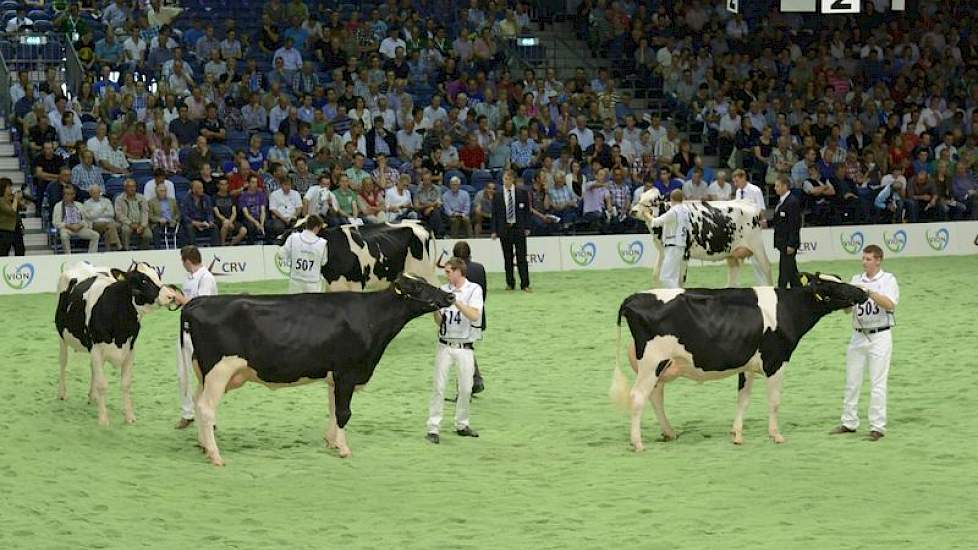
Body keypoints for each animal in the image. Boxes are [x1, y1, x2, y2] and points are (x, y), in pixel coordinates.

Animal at [54, 264, 181, 426]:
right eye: (143, 280)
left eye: (158, 276)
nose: (171, 296)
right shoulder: (96, 349)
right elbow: (103, 384)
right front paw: (103, 420)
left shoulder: (130, 350)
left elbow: (125, 384)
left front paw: (129, 417)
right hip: (61, 336)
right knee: (63, 363)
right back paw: (62, 393)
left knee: (92, 368)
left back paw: (93, 396)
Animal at [181, 274, 456, 468]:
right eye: (417, 288)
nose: (450, 297)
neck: (371, 318)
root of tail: (198, 302)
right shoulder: (347, 371)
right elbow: (344, 412)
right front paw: (344, 449)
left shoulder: (335, 377)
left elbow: (333, 410)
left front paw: (331, 442)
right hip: (220, 370)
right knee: (206, 407)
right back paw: (216, 456)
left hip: (203, 371)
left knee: (196, 401)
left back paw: (203, 446)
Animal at [608, 274, 868, 452]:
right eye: (833, 286)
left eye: (840, 278)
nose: (863, 292)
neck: (788, 308)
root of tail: (632, 298)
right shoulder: (776, 361)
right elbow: (774, 401)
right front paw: (776, 435)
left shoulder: (748, 365)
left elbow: (743, 400)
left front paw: (737, 434)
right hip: (652, 362)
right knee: (638, 397)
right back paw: (638, 443)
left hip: (661, 365)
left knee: (655, 396)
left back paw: (669, 432)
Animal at [628, 189, 772, 288]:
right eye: (640, 197)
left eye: (653, 201)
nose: (633, 211)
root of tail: (748, 202)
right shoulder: (662, 251)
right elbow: (655, 274)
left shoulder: (684, 253)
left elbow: (680, 281)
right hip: (732, 253)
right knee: (733, 275)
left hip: (757, 245)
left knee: (766, 267)